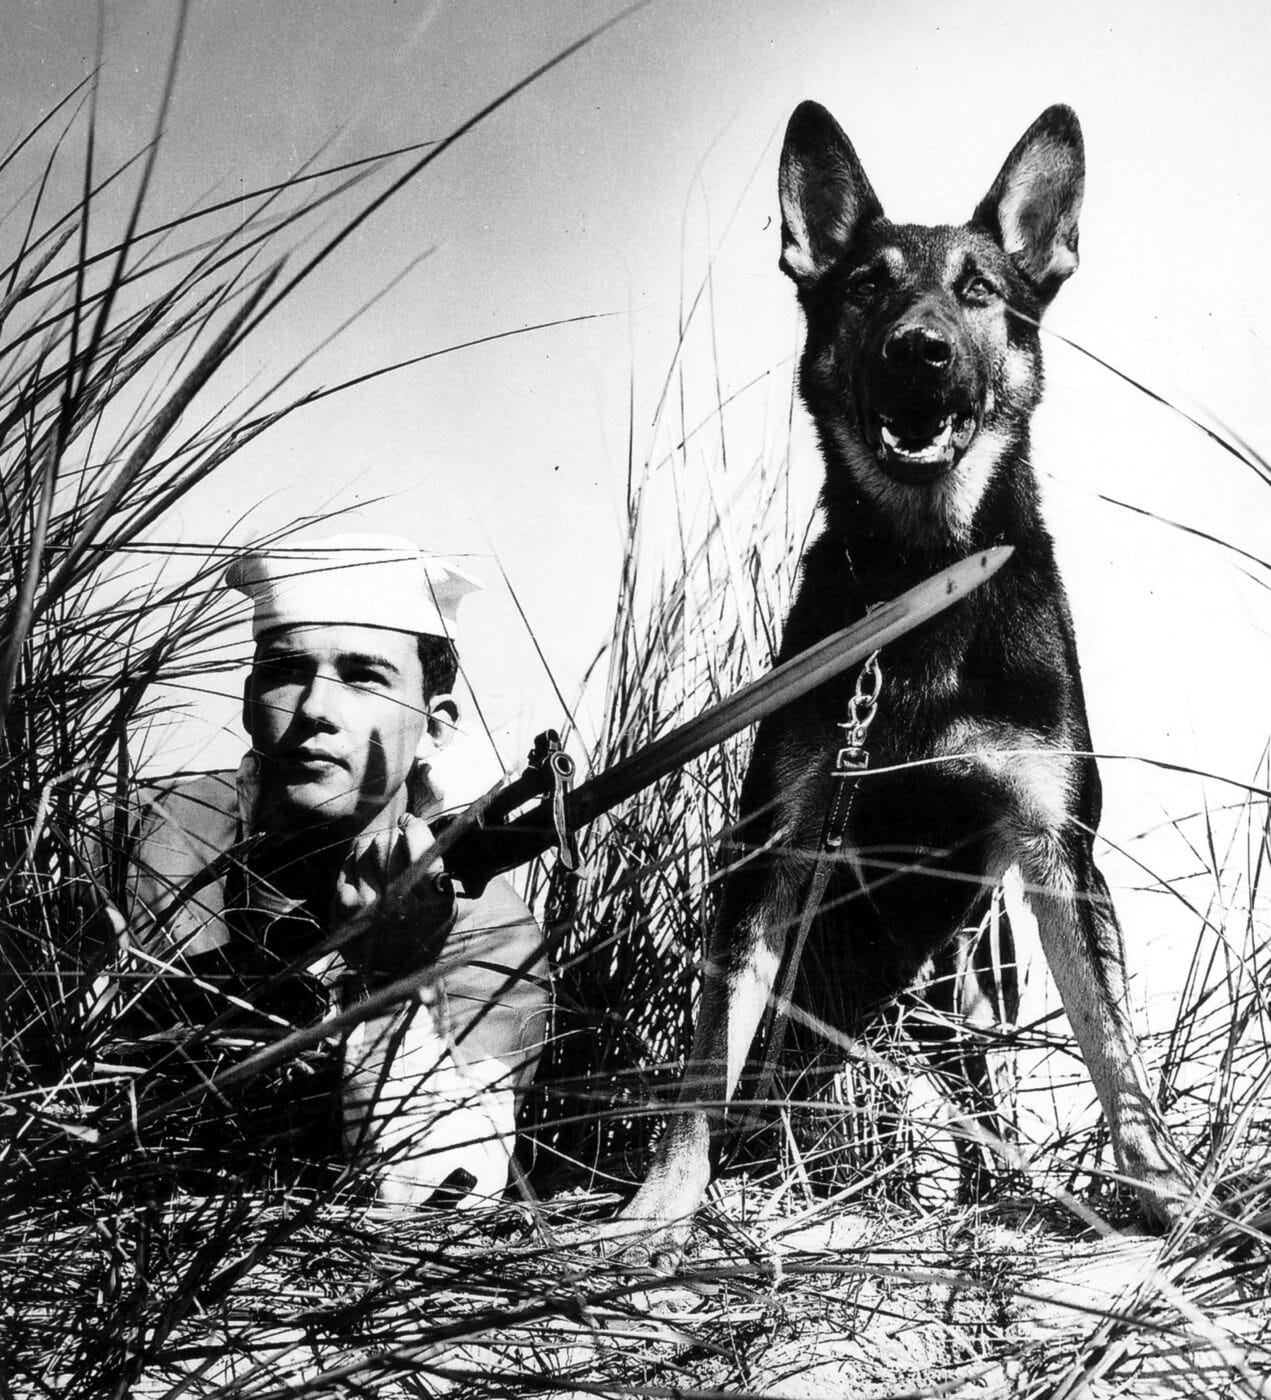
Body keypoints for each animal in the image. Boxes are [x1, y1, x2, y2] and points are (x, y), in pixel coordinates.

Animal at [615, 98, 1192, 1260]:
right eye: (862, 287)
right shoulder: (769, 846)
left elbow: (1111, 1046)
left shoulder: (1057, 846)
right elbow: (705, 1059)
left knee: (978, 1089)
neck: (921, 582)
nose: (918, 352)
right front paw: (663, 1201)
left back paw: (987, 1187)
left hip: (967, 974)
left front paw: (1164, 1187)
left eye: (978, 291)